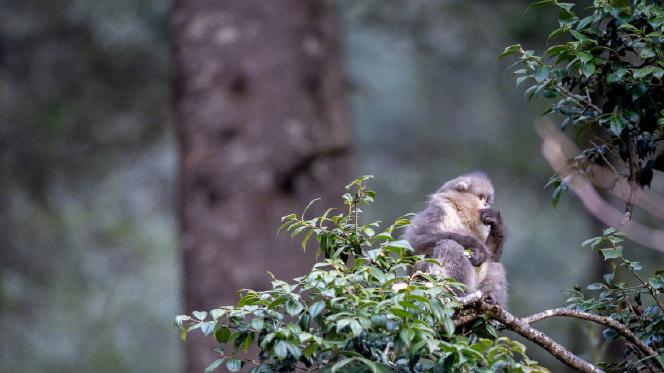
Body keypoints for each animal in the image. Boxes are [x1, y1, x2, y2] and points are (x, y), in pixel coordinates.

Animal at [402, 171, 510, 306]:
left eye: (486, 200)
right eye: (480, 197)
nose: (485, 204)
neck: (461, 214)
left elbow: (491, 255)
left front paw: (496, 223)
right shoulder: (439, 210)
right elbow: (415, 242)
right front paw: (476, 245)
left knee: (493, 263)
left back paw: (489, 299)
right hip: (426, 277)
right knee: (449, 245)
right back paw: (460, 294)